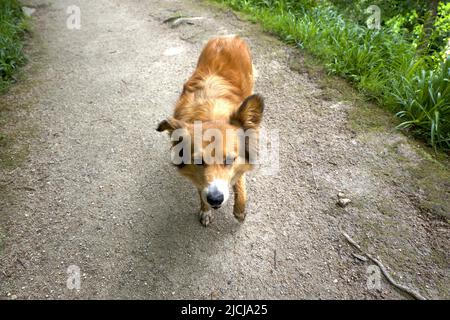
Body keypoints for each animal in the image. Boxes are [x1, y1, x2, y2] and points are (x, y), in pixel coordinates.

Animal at [157, 36, 264, 226]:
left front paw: (240, 209)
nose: (215, 200)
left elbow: (240, 180)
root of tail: (228, 37)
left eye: (229, 159)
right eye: (199, 161)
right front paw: (205, 209)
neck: (211, 114)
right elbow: (201, 189)